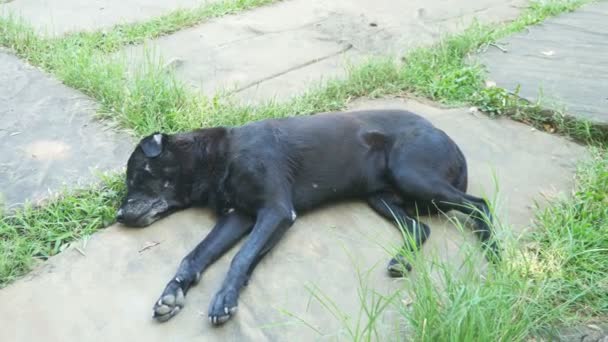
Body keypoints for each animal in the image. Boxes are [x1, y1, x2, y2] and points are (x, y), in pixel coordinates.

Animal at [116, 109, 496, 326]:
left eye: (137, 175)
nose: (119, 215)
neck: (220, 157)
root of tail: (448, 140)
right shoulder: (239, 216)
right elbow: (195, 256)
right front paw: (172, 293)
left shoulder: (276, 211)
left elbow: (240, 257)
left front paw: (225, 298)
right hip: (381, 198)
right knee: (421, 228)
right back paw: (402, 261)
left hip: (412, 174)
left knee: (479, 204)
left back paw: (494, 251)